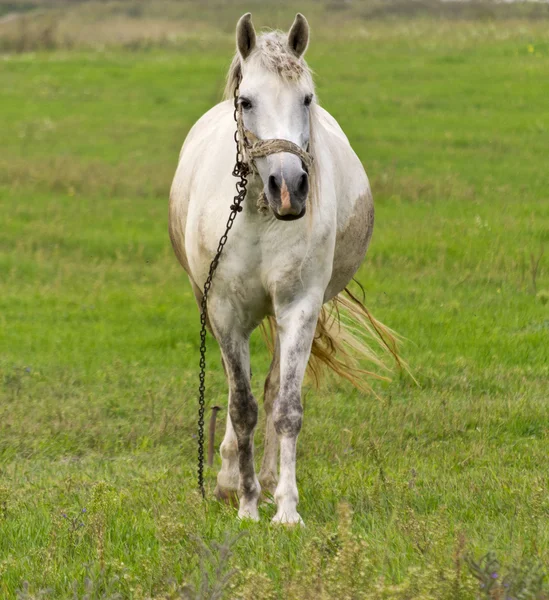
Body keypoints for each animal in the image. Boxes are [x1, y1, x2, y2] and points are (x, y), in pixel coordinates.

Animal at [169, 11, 396, 524]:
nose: (289, 187)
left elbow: (286, 407)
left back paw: (270, 480)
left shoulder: (299, 306)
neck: (256, 213)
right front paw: (246, 502)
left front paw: (285, 508)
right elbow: (242, 408)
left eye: (306, 99)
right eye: (247, 101)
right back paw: (230, 478)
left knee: (273, 390)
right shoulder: (225, 311)